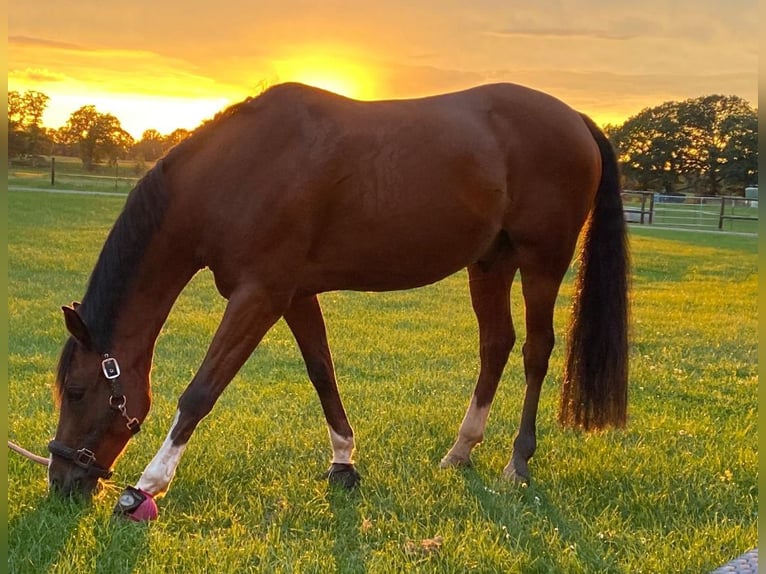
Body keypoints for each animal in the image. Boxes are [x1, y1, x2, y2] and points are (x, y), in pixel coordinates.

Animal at [46, 82, 632, 508]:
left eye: (76, 391)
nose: (60, 481)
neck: (242, 171)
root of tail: (576, 119)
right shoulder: (293, 295)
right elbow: (322, 372)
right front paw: (344, 463)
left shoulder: (260, 295)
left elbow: (201, 390)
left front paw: (147, 485)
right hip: (491, 263)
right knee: (496, 345)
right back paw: (460, 451)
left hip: (542, 262)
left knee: (536, 350)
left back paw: (518, 462)